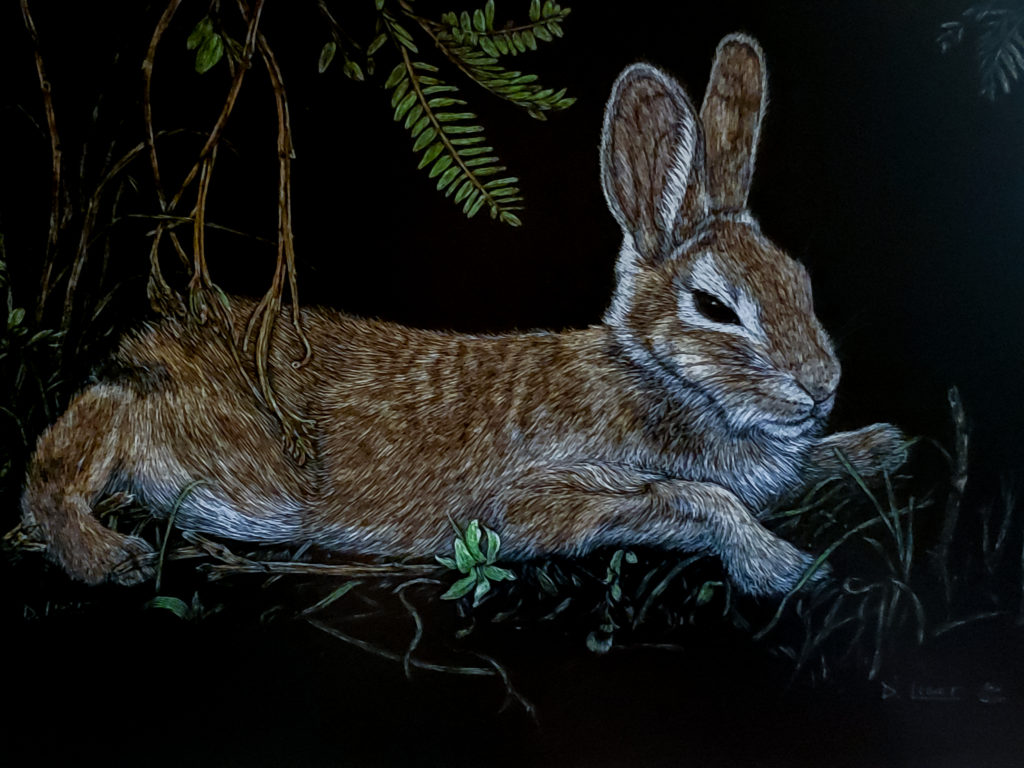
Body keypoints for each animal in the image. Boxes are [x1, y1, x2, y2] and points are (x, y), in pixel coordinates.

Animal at [19, 33, 905, 598]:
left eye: (800, 282)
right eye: (716, 307)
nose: (821, 387)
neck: (657, 378)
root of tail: (163, 338)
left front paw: (878, 448)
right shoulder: (542, 493)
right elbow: (695, 501)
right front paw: (783, 569)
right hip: (168, 431)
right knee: (65, 456)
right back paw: (107, 556)